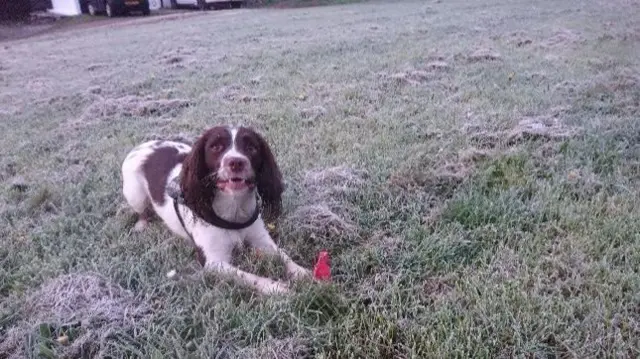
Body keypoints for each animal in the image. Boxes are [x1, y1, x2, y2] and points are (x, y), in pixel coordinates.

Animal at [121, 126, 312, 296]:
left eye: (252, 147)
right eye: (215, 146)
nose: (236, 162)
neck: (234, 208)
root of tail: (143, 145)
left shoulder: (261, 239)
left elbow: (283, 256)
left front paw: (303, 273)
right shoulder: (214, 262)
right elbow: (247, 276)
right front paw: (276, 287)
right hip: (135, 194)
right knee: (141, 210)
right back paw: (141, 225)